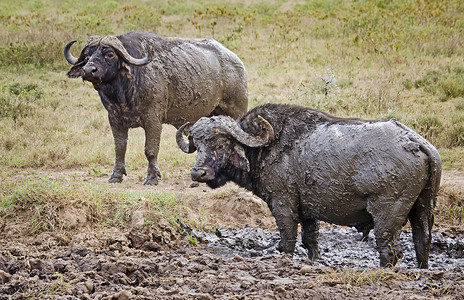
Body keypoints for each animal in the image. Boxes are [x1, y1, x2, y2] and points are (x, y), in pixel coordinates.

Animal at [64, 31, 250, 185]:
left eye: (109, 54)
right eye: (87, 55)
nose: (88, 70)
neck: (124, 92)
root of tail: (236, 61)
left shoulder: (153, 120)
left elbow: (150, 150)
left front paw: (152, 177)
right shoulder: (115, 119)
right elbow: (120, 148)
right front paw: (116, 176)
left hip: (236, 110)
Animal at [178, 103, 442, 270]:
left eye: (220, 144)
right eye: (198, 144)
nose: (197, 172)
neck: (266, 148)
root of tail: (415, 141)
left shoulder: (283, 204)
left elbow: (287, 239)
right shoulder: (309, 212)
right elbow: (310, 241)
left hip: (387, 215)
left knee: (390, 249)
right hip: (423, 209)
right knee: (422, 242)